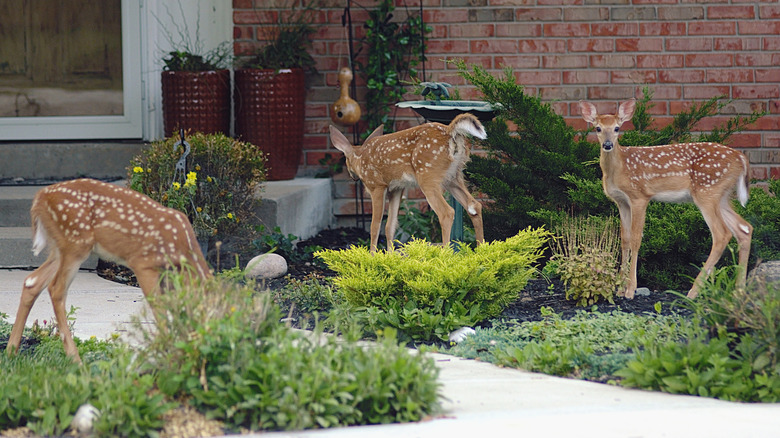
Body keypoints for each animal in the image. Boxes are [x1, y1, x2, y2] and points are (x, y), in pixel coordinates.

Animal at [5, 178, 212, 362]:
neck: (182, 249)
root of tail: (40, 197)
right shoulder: (143, 263)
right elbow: (159, 309)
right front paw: (169, 354)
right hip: (75, 243)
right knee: (56, 289)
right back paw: (75, 359)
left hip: (60, 247)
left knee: (32, 282)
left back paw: (11, 351)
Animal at [329, 113, 486, 252]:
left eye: (345, 159)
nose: (353, 177)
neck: (360, 158)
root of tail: (450, 131)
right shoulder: (396, 188)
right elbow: (390, 226)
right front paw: (390, 257)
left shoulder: (377, 185)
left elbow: (375, 226)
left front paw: (372, 256)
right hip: (453, 177)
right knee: (474, 206)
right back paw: (480, 253)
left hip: (428, 176)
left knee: (447, 212)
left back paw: (445, 255)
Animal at [579, 99, 752, 299]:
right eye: (598, 128)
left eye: (617, 128)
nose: (607, 145)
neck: (619, 169)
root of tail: (741, 158)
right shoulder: (621, 202)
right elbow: (624, 239)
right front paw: (620, 288)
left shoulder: (639, 196)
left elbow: (636, 239)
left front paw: (630, 290)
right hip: (721, 196)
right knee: (744, 228)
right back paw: (739, 291)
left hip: (707, 191)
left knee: (722, 234)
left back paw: (693, 291)